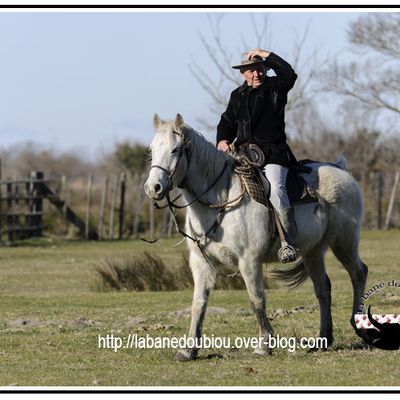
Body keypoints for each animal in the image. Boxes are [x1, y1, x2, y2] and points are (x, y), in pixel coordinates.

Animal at [144, 113, 368, 362]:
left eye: (175, 150)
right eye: (152, 149)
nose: (153, 188)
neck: (221, 200)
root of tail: (340, 169)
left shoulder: (249, 261)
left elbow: (256, 300)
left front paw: (264, 345)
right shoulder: (201, 263)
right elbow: (198, 304)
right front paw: (188, 350)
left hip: (344, 243)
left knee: (358, 273)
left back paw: (358, 325)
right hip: (313, 252)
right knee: (323, 289)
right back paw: (323, 340)